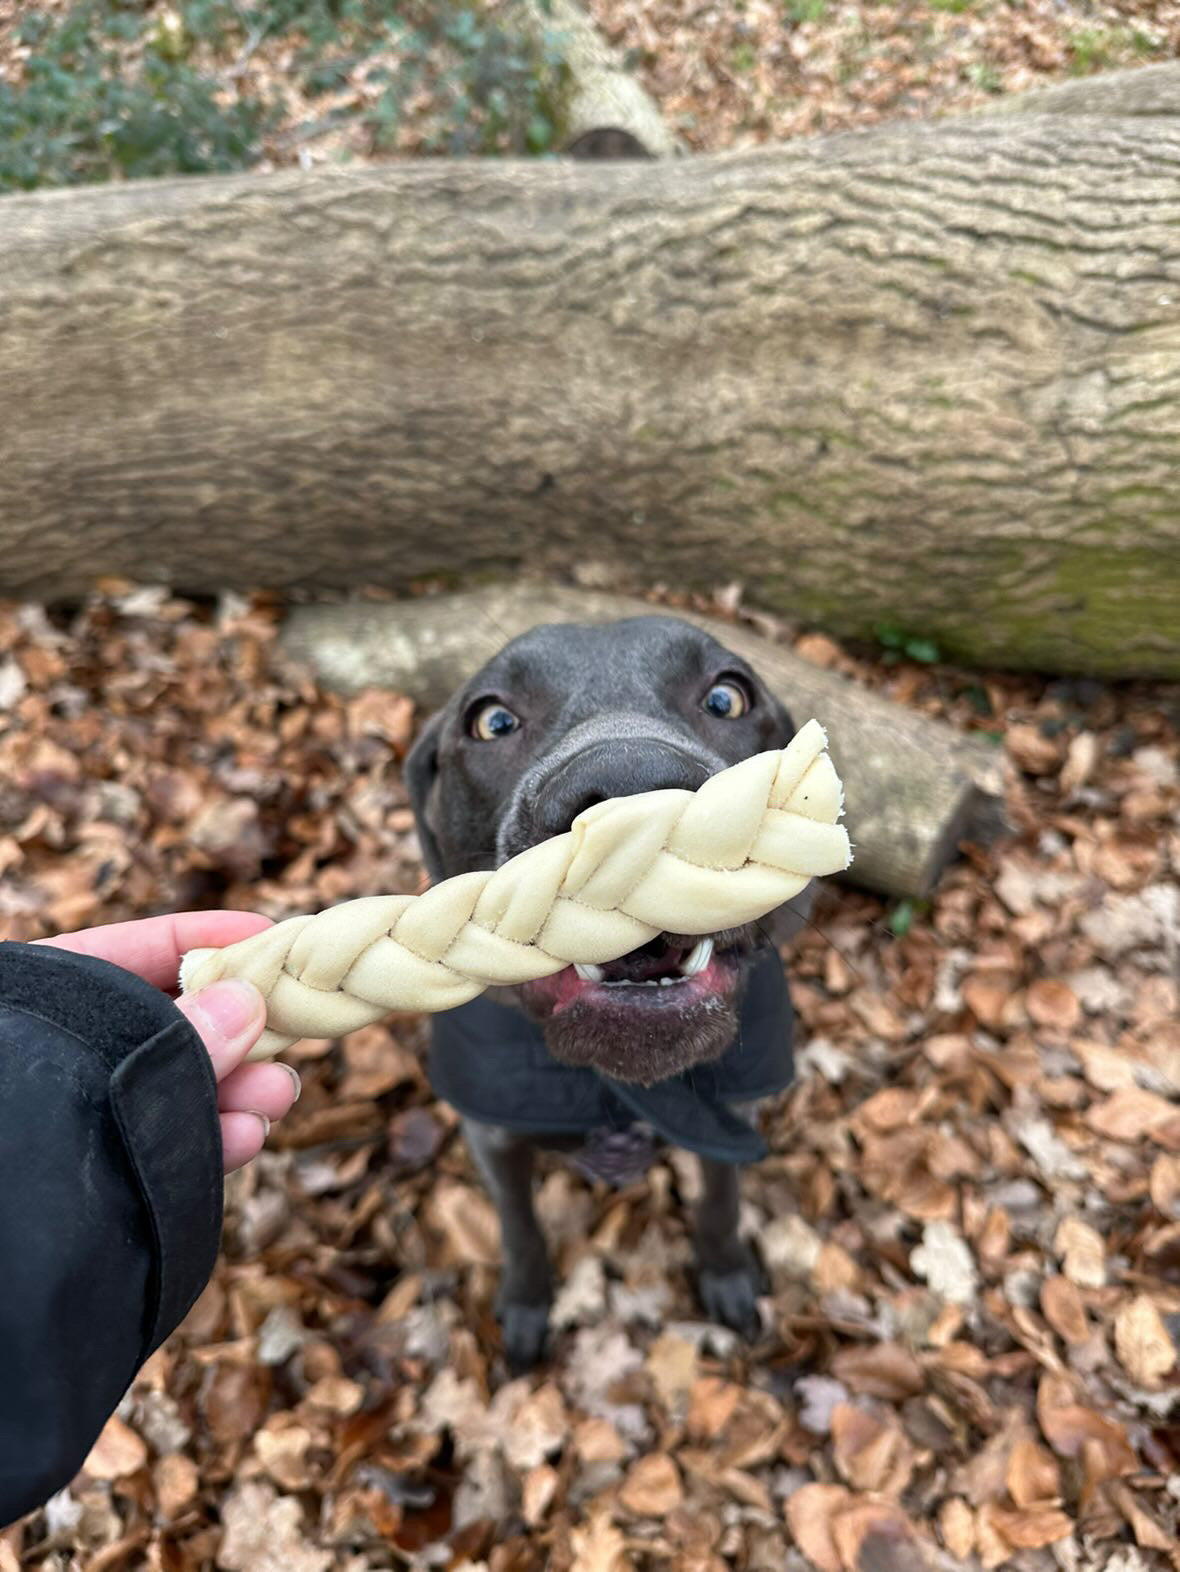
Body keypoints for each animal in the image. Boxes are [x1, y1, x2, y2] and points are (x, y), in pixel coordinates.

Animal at [402, 613, 810, 1364]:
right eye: (493, 720)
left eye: (726, 698)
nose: (633, 790)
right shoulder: (493, 1134)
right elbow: (520, 1227)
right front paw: (526, 1306)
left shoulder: (733, 1113)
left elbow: (721, 1197)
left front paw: (727, 1275)